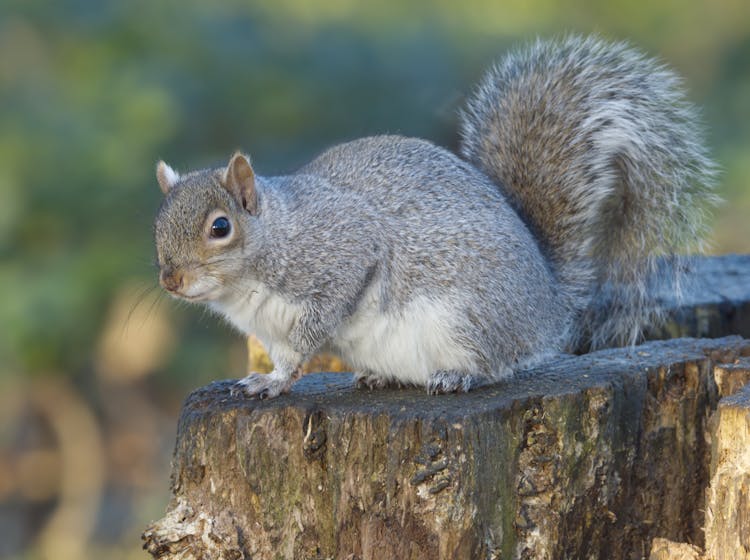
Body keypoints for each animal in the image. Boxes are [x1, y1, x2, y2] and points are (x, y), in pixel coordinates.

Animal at [151, 35, 716, 398]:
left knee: (499, 366)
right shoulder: (265, 328)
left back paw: (459, 376)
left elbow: (306, 341)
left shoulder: (340, 258)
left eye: (220, 227)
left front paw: (275, 383)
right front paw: (265, 378)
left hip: (468, 318)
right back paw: (379, 376)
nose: (170, 280)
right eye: (157, 224)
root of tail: (550, 301)